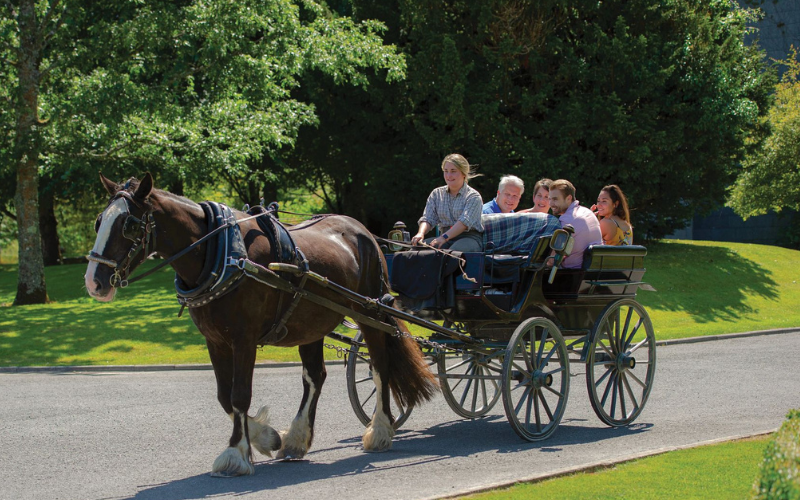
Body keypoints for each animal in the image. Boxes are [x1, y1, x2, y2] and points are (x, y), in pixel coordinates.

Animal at [84, 175, 438, 476]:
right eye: (100, 221)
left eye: (129, 225)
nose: (94, 282)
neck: (225, 255)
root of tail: (364, 233)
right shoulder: (215, 341)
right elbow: (224, 396)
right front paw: (266, 437)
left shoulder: (244, 339)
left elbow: (240, 395)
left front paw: (236, 454)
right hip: (312, 321)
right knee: (315, 377)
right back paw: (297, 438)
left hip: (370, 313)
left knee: (380, 366)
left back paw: (379, 430)